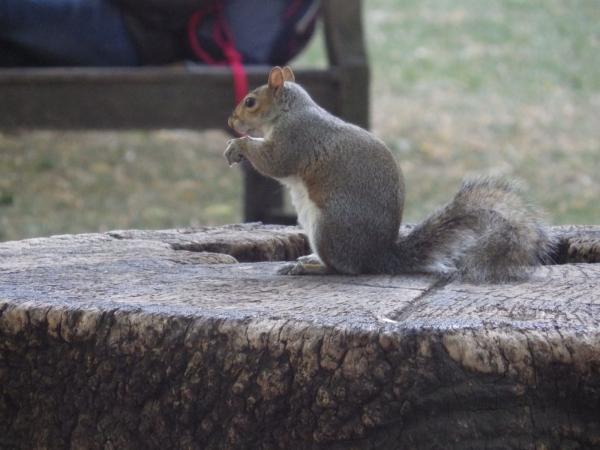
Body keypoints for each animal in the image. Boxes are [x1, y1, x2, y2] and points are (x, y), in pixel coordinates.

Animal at [226, 65, 556, 284]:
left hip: (329, 227)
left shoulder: (296, 138)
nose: (231, 121)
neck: (289, 111)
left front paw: (240, 145)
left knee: (343, 268)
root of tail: (377, 256)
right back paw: (308, 259)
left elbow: (275, 162)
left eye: (250, 102)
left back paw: (308, 267)